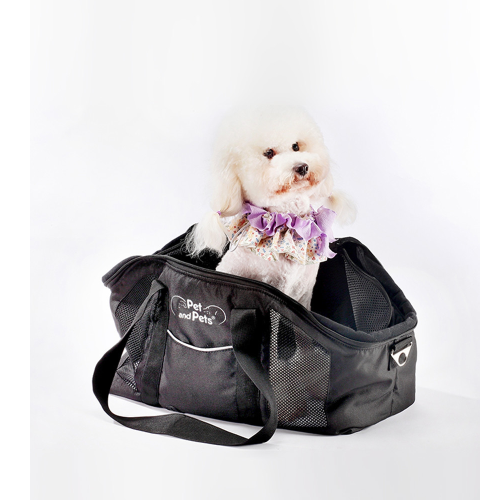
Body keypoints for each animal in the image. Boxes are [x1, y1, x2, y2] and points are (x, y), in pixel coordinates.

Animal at [186, 106, 355, 310]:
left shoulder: (305, 291)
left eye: (296, 146)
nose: (302, 167)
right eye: (269, 153)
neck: (291, 218)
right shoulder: (278, 286)